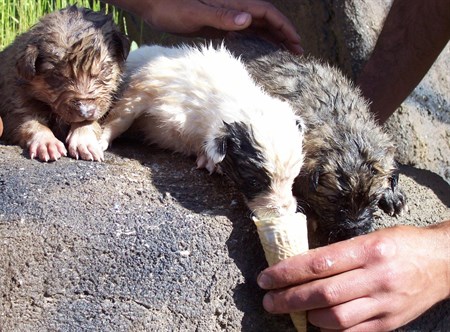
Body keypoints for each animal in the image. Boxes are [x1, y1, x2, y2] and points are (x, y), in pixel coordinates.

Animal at [0, 4, 130, 161]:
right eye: (57, 76)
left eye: (103, 70)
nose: (85, 111)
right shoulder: (16, 102)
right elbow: (29, 122)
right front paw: (47, 143)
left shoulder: (104, 106)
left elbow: (92, 120)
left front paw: (84, 140)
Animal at [101, 43, 306, 218]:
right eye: (254, 181)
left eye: (294, 179)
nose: (286, 212)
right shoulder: (146, 86)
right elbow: (121, 116)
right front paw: (100, 140)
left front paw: (208, 160)